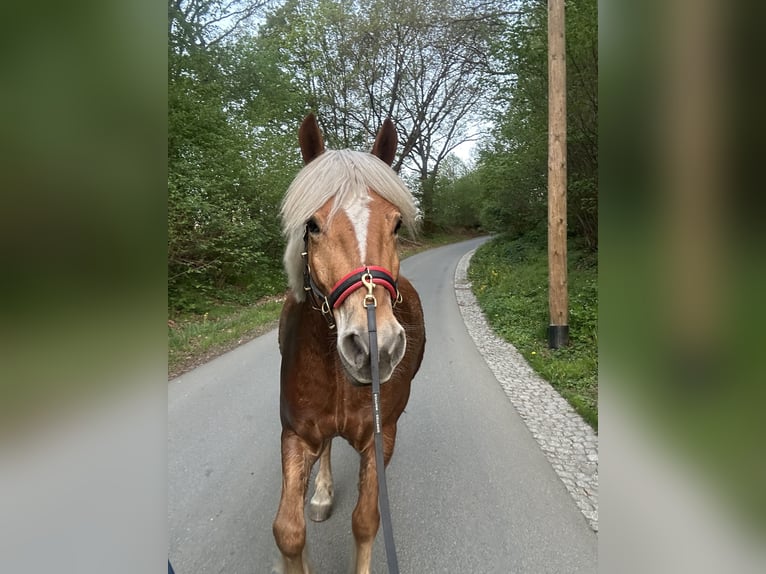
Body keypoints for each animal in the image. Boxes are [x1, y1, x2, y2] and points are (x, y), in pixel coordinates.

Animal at [273, 114, 426, 574]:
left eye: (396, 224)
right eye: (312, 225)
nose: (375, 345)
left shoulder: (381, 437)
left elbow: (366, 520)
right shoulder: (295, 434)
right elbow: (288, 532)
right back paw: (322, 493)